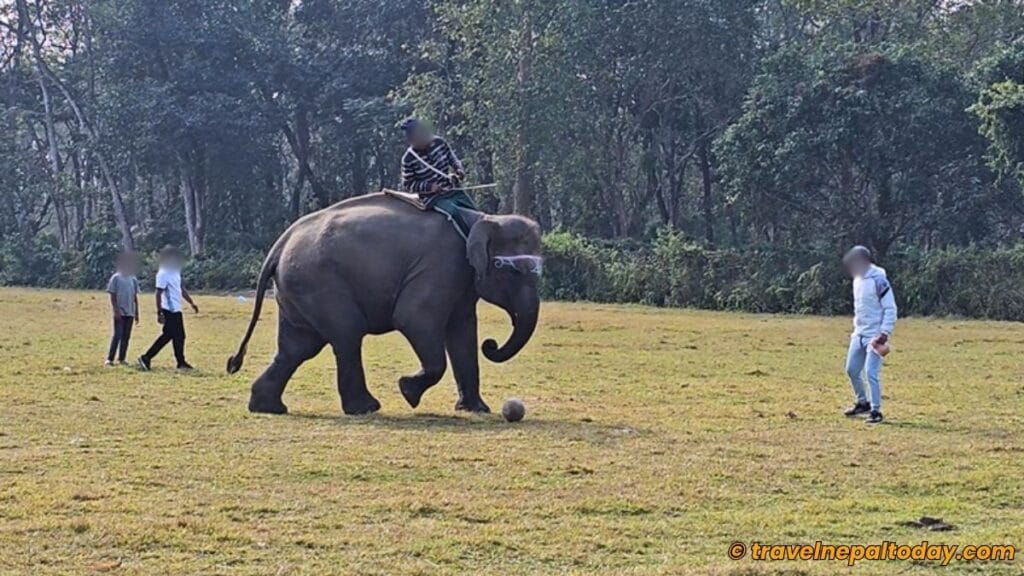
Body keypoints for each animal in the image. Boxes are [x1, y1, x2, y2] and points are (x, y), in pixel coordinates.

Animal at [226, 192, 543, 415]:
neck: (478, 218)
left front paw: (477, 409)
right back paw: (366, 408)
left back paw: (268, 407)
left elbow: (462, 331)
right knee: (346, 335)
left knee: (298, 347)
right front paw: (407, 391)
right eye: (512, 271)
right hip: (318, 282)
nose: (491, 344)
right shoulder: (440, 265)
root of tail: (280, 244)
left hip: (298, 288)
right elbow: (413, 317)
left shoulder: (461, 279)